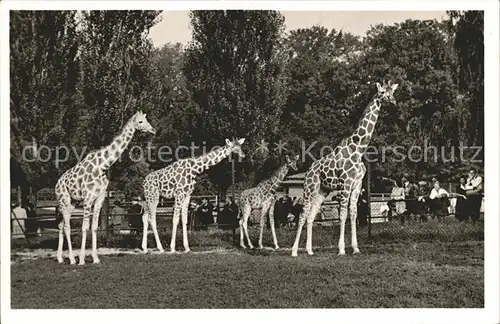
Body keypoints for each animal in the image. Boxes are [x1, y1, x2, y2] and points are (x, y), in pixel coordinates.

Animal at [53, 112, 155, 264]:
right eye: (141, 121)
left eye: (146, 120)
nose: (153, 130)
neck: (102, 166)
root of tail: (57, 184)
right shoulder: (88, 197)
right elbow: (85, 228)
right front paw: (82, 259)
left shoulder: (99, 197)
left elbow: (94, 227)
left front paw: (95, 258)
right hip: (63, 199)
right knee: (66, 227)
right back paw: (72, 259)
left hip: (72, 202)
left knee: (60, 226)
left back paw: (60, 258)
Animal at [290, 79, 398, 256]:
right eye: (382, 92)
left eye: (392, 92)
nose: (393, 101)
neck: (358, 149)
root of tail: (308, 171)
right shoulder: (345, 184)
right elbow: (343, 215)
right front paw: (341, 249)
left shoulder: (357, 185)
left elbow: (353, 214)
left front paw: (355, 248)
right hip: (309, 189)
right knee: (303, 214)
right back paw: (294, 251)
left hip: (322, 190)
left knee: (311, 216)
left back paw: (310, 250)